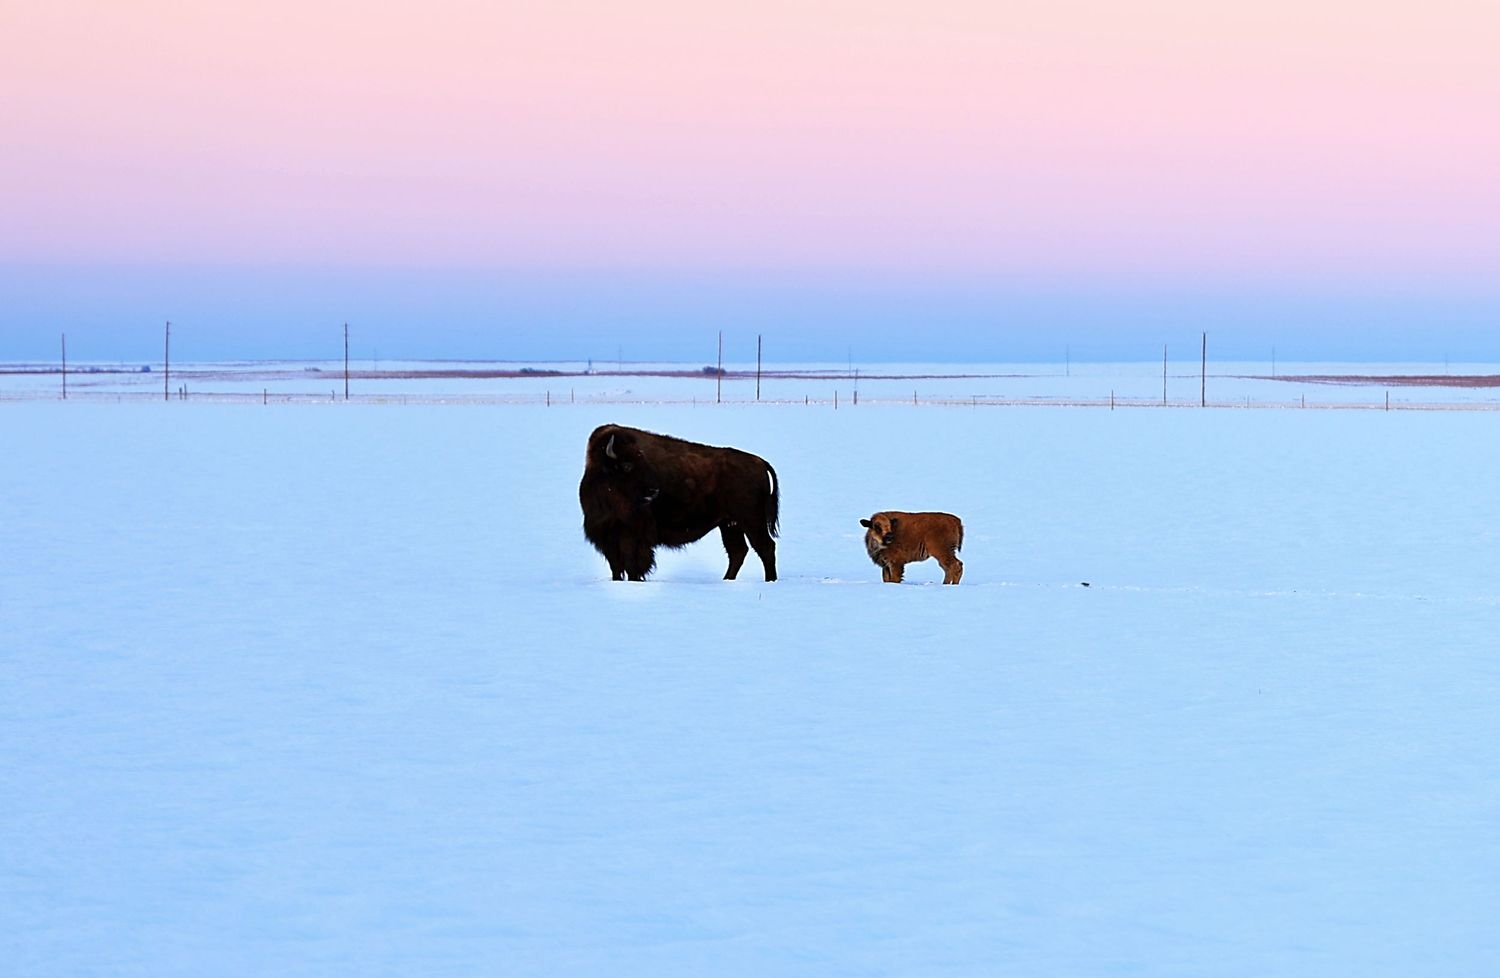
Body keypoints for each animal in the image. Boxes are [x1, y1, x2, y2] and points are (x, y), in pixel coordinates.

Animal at [580, 424, 780, 582]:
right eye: (627, 465)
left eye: (642, 461)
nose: (653, 491)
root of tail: (760, 462)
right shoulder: (607, 536)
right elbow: (616, 567)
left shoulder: (633, 536)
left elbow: (632, 565)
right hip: (730, 524)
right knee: (738, 551)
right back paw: (727, 580)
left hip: (751, 520)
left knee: (765, 547)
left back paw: (770, 580)